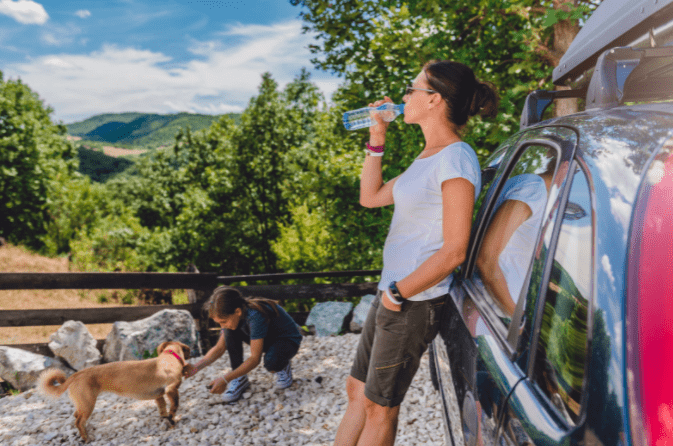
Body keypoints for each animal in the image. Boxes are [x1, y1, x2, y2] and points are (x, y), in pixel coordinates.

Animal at [39, 342, 189, 442]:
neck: (170, 356)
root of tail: (76, 374)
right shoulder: (171, 390)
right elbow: (174, 407)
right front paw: (172, 421)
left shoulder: (159, 395)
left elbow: (163, 408)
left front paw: (165, 418)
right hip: (88, 404)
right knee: (79, 422)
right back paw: (86, 437)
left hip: (83, 404)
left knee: (76, 416)